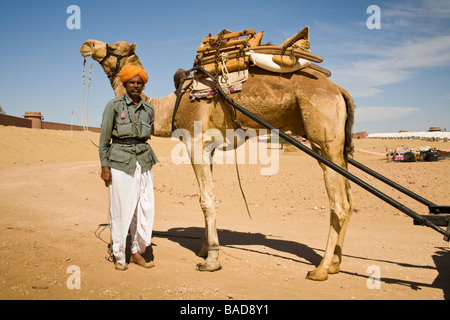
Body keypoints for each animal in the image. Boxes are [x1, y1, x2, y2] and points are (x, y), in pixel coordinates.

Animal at [80, 38, 356, 282]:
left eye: (114, 46)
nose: (87, 44)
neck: (170, 107)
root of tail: (339, 90)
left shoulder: (195, 143)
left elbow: (207, 200)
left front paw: (211, 260)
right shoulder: (208, 149)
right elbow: (206, 198)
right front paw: (203, 249)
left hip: (324, 136)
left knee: (340, 204)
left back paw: (321, 269)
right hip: (334, 148)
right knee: (349, 200)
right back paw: (335, 264)